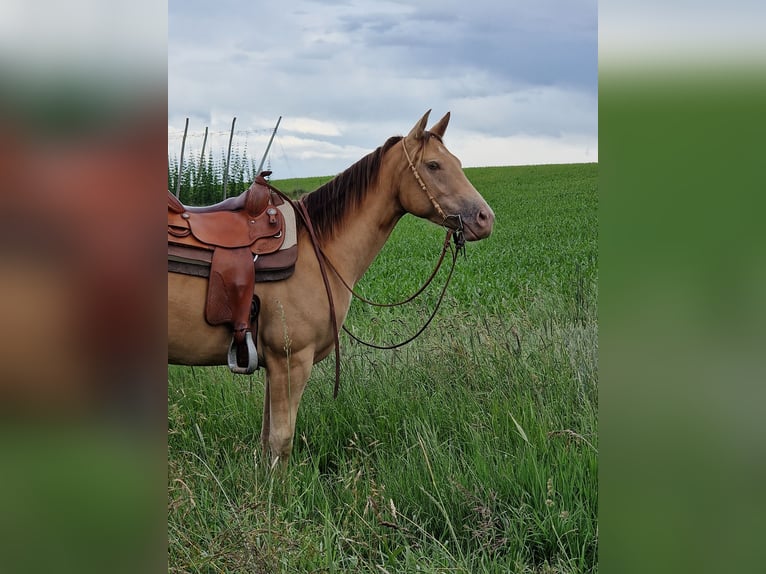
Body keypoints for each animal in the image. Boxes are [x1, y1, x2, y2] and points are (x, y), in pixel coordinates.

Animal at [168, 110, 498, 466]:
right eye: (434, 165)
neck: (317, 249)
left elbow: (267, 439)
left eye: (458, 162)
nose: (485, 218)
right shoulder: (291, 362)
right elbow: (281, 442)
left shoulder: (274, 365)